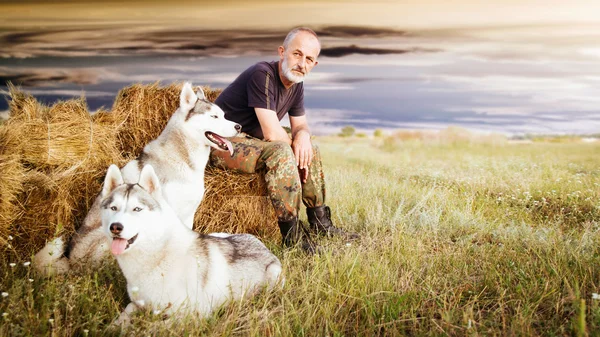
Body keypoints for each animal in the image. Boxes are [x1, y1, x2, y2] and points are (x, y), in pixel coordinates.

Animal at [35, 82, 240, 274]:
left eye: (223, 115)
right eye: (213, 117)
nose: (238, 126)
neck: (184, 160)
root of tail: (71, 260)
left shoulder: (189, 214)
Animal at [101, 164, 284, 324]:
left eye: (137, 209)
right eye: (113, 208)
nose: (115, 227)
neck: (157, 256)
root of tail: (260, 243)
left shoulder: (193, 315)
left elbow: (153, 328)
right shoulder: (137, 304)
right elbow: (122, 316)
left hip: (274, 275)